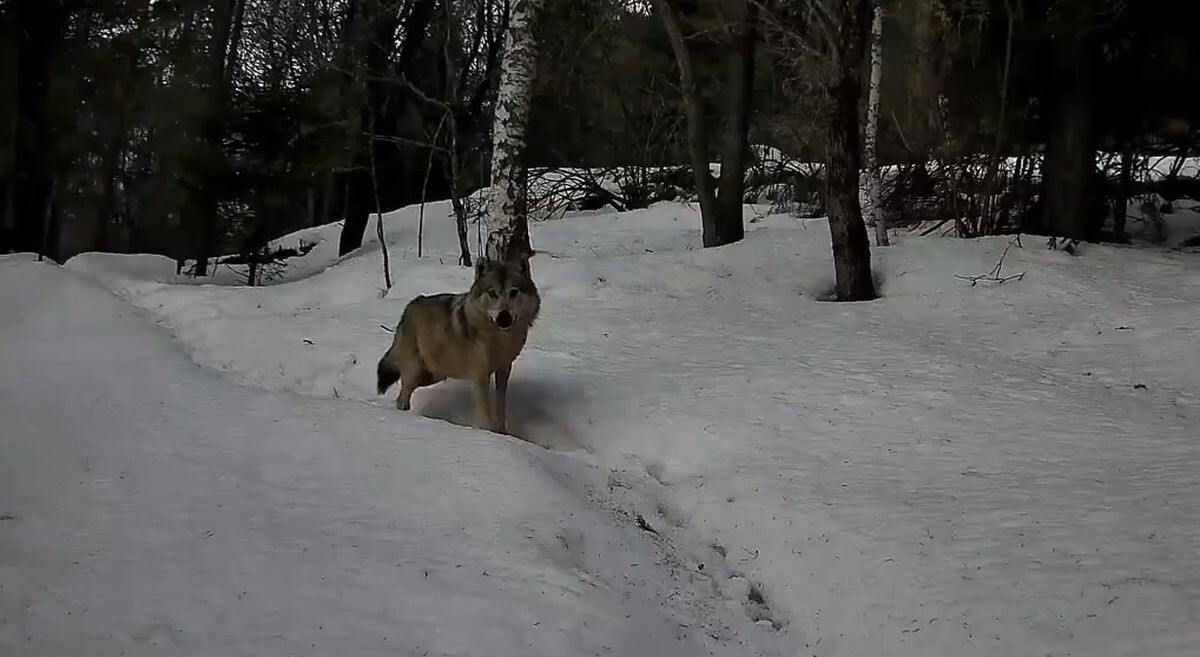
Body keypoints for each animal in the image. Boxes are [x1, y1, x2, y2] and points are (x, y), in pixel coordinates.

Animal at [376, 252, 540, 434]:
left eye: (513, 292)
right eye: (492, 293)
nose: (504, 317)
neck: (499, 339)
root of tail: (410, 306)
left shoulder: (503, 371)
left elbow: (500, 407)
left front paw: (501, 433)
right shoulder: (479, 375)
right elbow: (484, 412)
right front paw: (487, 433)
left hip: (433, 375)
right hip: (415, 372)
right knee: (403, 396)